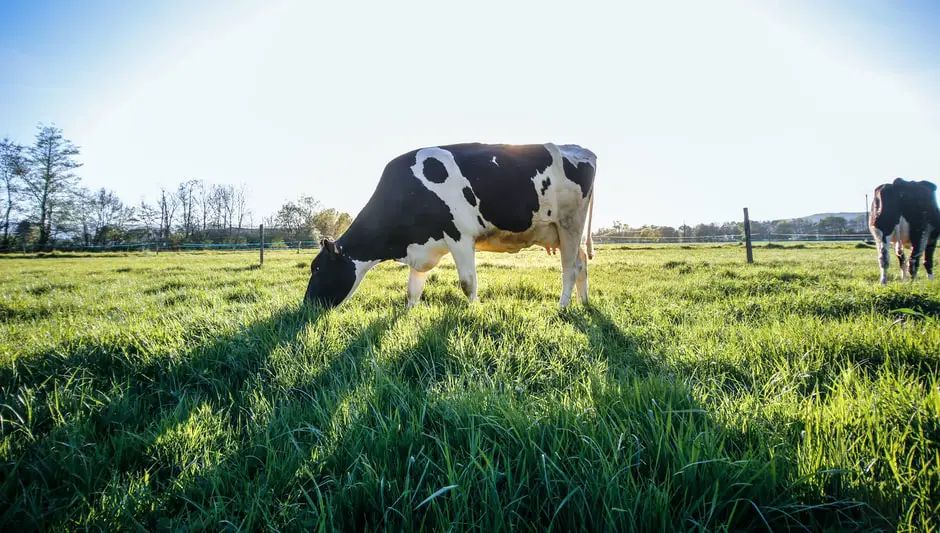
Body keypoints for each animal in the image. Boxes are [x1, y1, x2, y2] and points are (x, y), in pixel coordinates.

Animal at [302, 141, 596, 308]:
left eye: (317, 269)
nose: (306, 305)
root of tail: (580, 149)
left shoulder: (460, 237)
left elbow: (468, 283)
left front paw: (474, 312)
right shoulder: (420, 245)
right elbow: (413, 290)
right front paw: (408, 314)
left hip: (569, 223)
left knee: (570, 268)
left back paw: (563, 306)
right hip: (565, 231)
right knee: (582, 263)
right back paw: (583, 302)